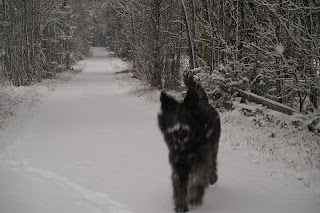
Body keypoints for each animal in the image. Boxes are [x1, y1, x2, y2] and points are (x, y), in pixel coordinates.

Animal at [158, 75, 220, 211]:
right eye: (171, 120)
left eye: (186, 118)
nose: (179, 132)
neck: (188, 147)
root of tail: (204, 101)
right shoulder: (179, 164)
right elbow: (179, 186)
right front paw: (181, 206)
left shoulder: (202, 159)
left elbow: (199, 179)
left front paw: (194, 198)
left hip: (213, 147)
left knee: (213, 163)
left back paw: (213, 178)